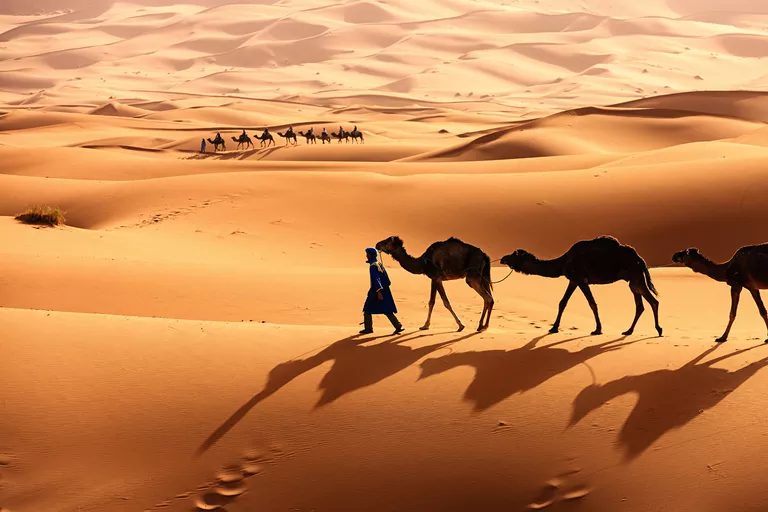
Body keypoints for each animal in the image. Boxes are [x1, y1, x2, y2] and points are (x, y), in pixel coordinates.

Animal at [500, 238, 664, 338]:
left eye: (514, 255)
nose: (503, 259)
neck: (563, 262)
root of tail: (640, 259)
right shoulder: (573, 280)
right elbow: (563, 302)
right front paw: (554, 328)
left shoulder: (580, 279)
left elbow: (591, 303)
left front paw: (597, 329)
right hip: (633, 279)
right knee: (640, 305)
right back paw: (628, 331)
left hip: (635, 276)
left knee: (653, 301)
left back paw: (658, 329)